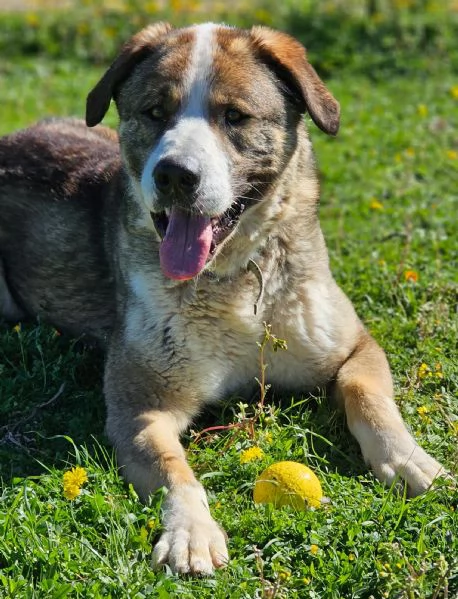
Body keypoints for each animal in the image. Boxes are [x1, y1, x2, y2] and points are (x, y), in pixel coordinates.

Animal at [0, 23, 444, 576]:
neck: (234, 280)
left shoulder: (356, 347)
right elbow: (173, 468)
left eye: (234, 116)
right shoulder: (142, 406)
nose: (174, 175)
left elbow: (368, 396)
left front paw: (409, 460)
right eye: (155, 112)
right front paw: (190, 531)